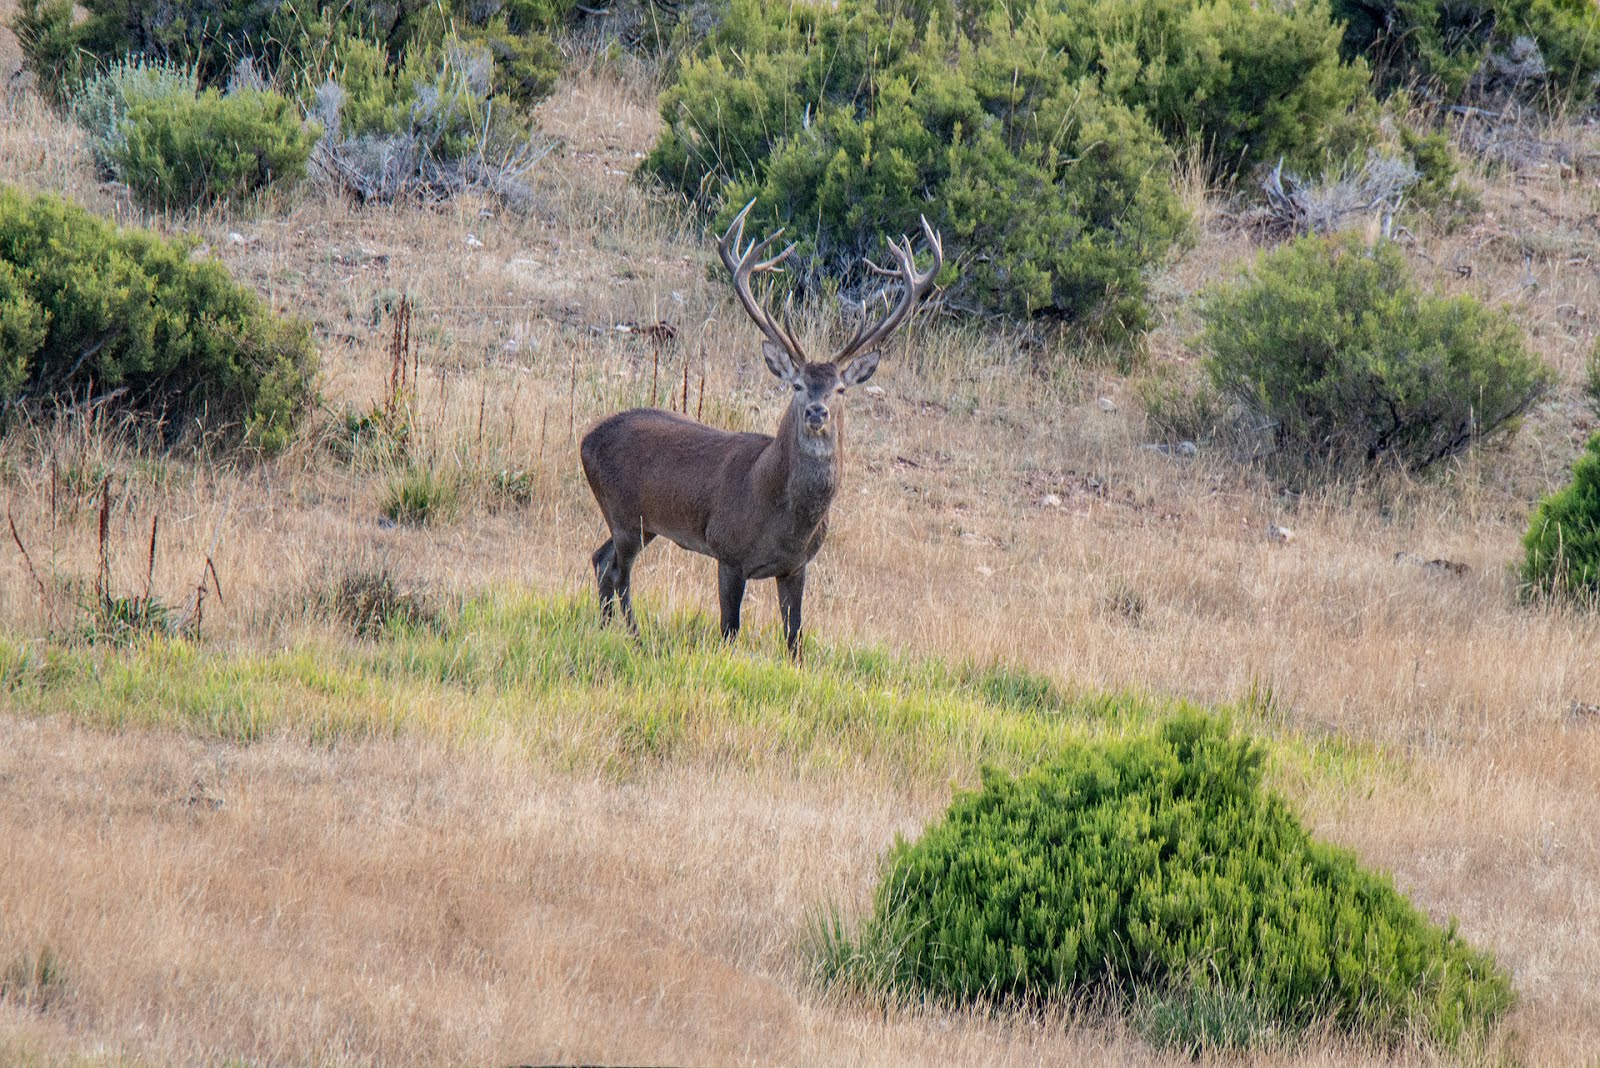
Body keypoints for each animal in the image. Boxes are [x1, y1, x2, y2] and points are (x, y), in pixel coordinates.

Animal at [582, 195, 940, 655]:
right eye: (798, 384)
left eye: (840, 389)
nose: (817, 412)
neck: (776, 511)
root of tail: (585, 439)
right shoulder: (727, 551)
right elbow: (729, 630)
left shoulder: (796, 566)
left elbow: (795, 638)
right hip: (625, 512)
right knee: (619, 574)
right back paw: (635, 637)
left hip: (638, 524)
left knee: (600, 559)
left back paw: (607, 627)